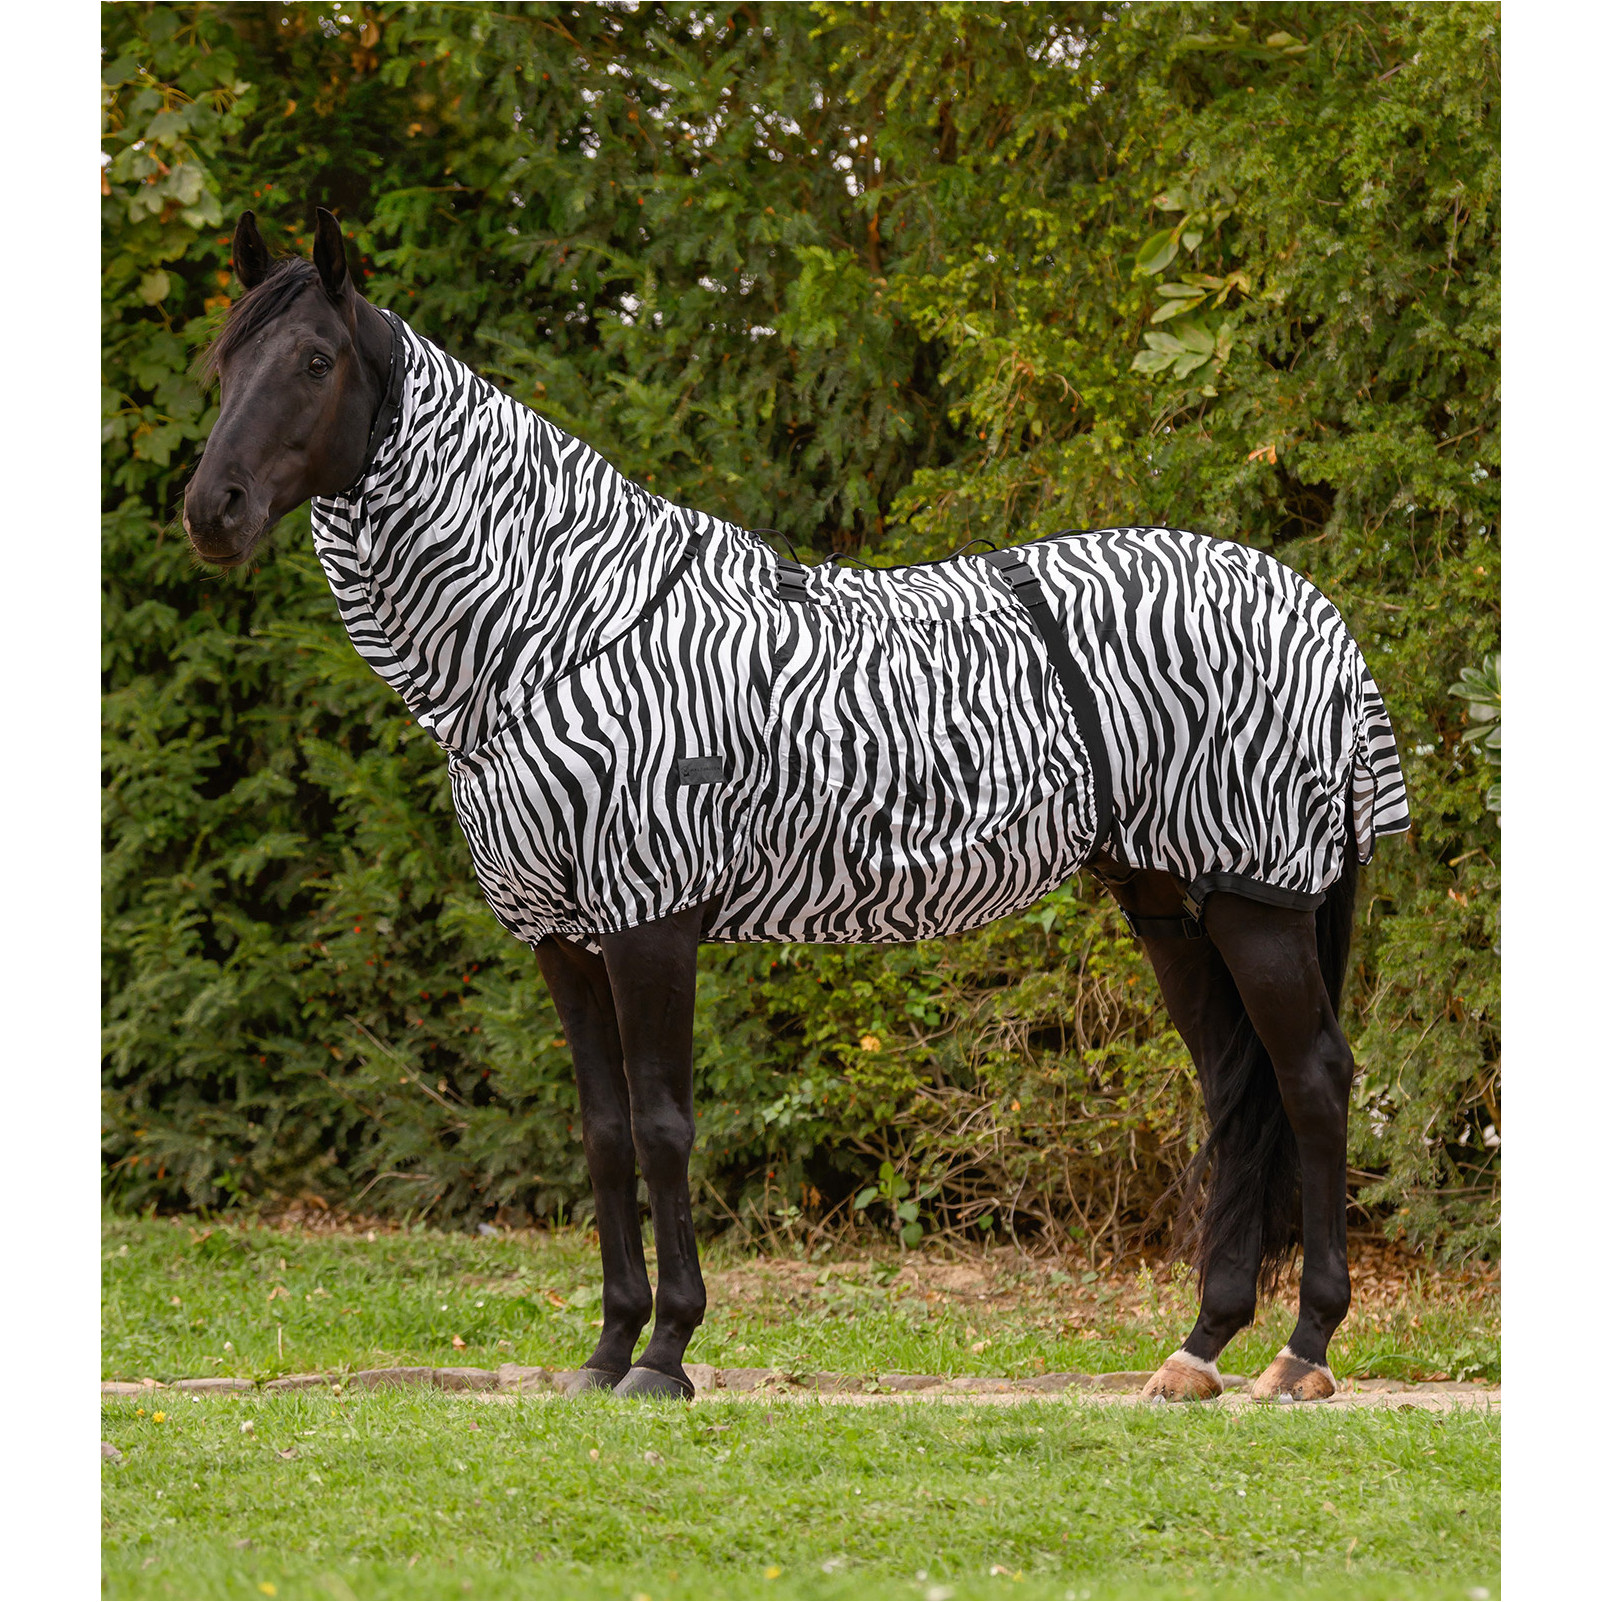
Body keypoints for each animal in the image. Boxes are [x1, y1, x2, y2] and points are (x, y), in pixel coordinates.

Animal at [183, 208, 1410, 1405]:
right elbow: (603, 1134)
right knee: (1235, 1091)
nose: (211, 513)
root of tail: (1316, 613)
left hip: (1256, 898)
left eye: (314, 360)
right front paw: (605, 1351)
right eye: (224, 361)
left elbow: (665, 1127)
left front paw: (666, 1354)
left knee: (1311, 1080)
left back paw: (1302, 1352)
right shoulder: (560, 937)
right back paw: (1199, 1350)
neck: (559, 627)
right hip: (1168, 901)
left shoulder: (651, 918)